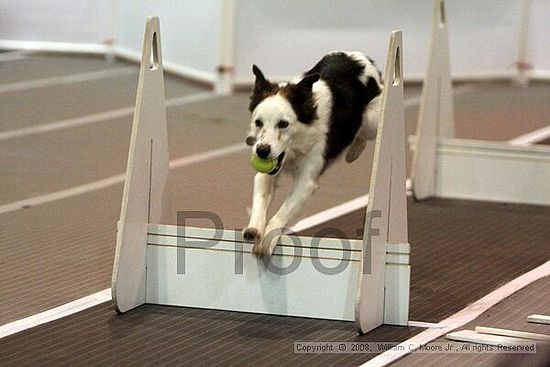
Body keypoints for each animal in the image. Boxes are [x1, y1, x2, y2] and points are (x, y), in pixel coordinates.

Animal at [246, 51, 384, 258]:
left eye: (283, 124)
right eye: (258, 122)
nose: (262, 151)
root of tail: (360, 57)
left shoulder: (306, 181)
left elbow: (284, 211)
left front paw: (268, 239)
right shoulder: (267, 172)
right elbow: (260, 199)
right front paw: (254, 229)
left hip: (371, 120)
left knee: (364, 132)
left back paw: (354, 151)